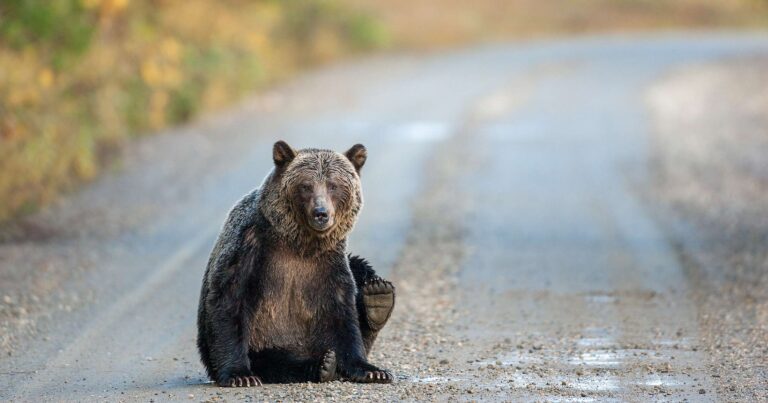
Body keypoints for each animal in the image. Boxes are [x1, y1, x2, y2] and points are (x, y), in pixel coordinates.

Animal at [197, 140, 396, 387]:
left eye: (333, 185)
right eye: (306, 186)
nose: (321, 213)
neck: (300, 244)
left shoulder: (328, 263)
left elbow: (342, 313)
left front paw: (372, 370)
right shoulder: (249, 247)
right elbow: (229, 299)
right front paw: (239, 375)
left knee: (360, 268)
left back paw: (378, 297)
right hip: (266, 345)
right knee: (278, 363)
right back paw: (323, 365)